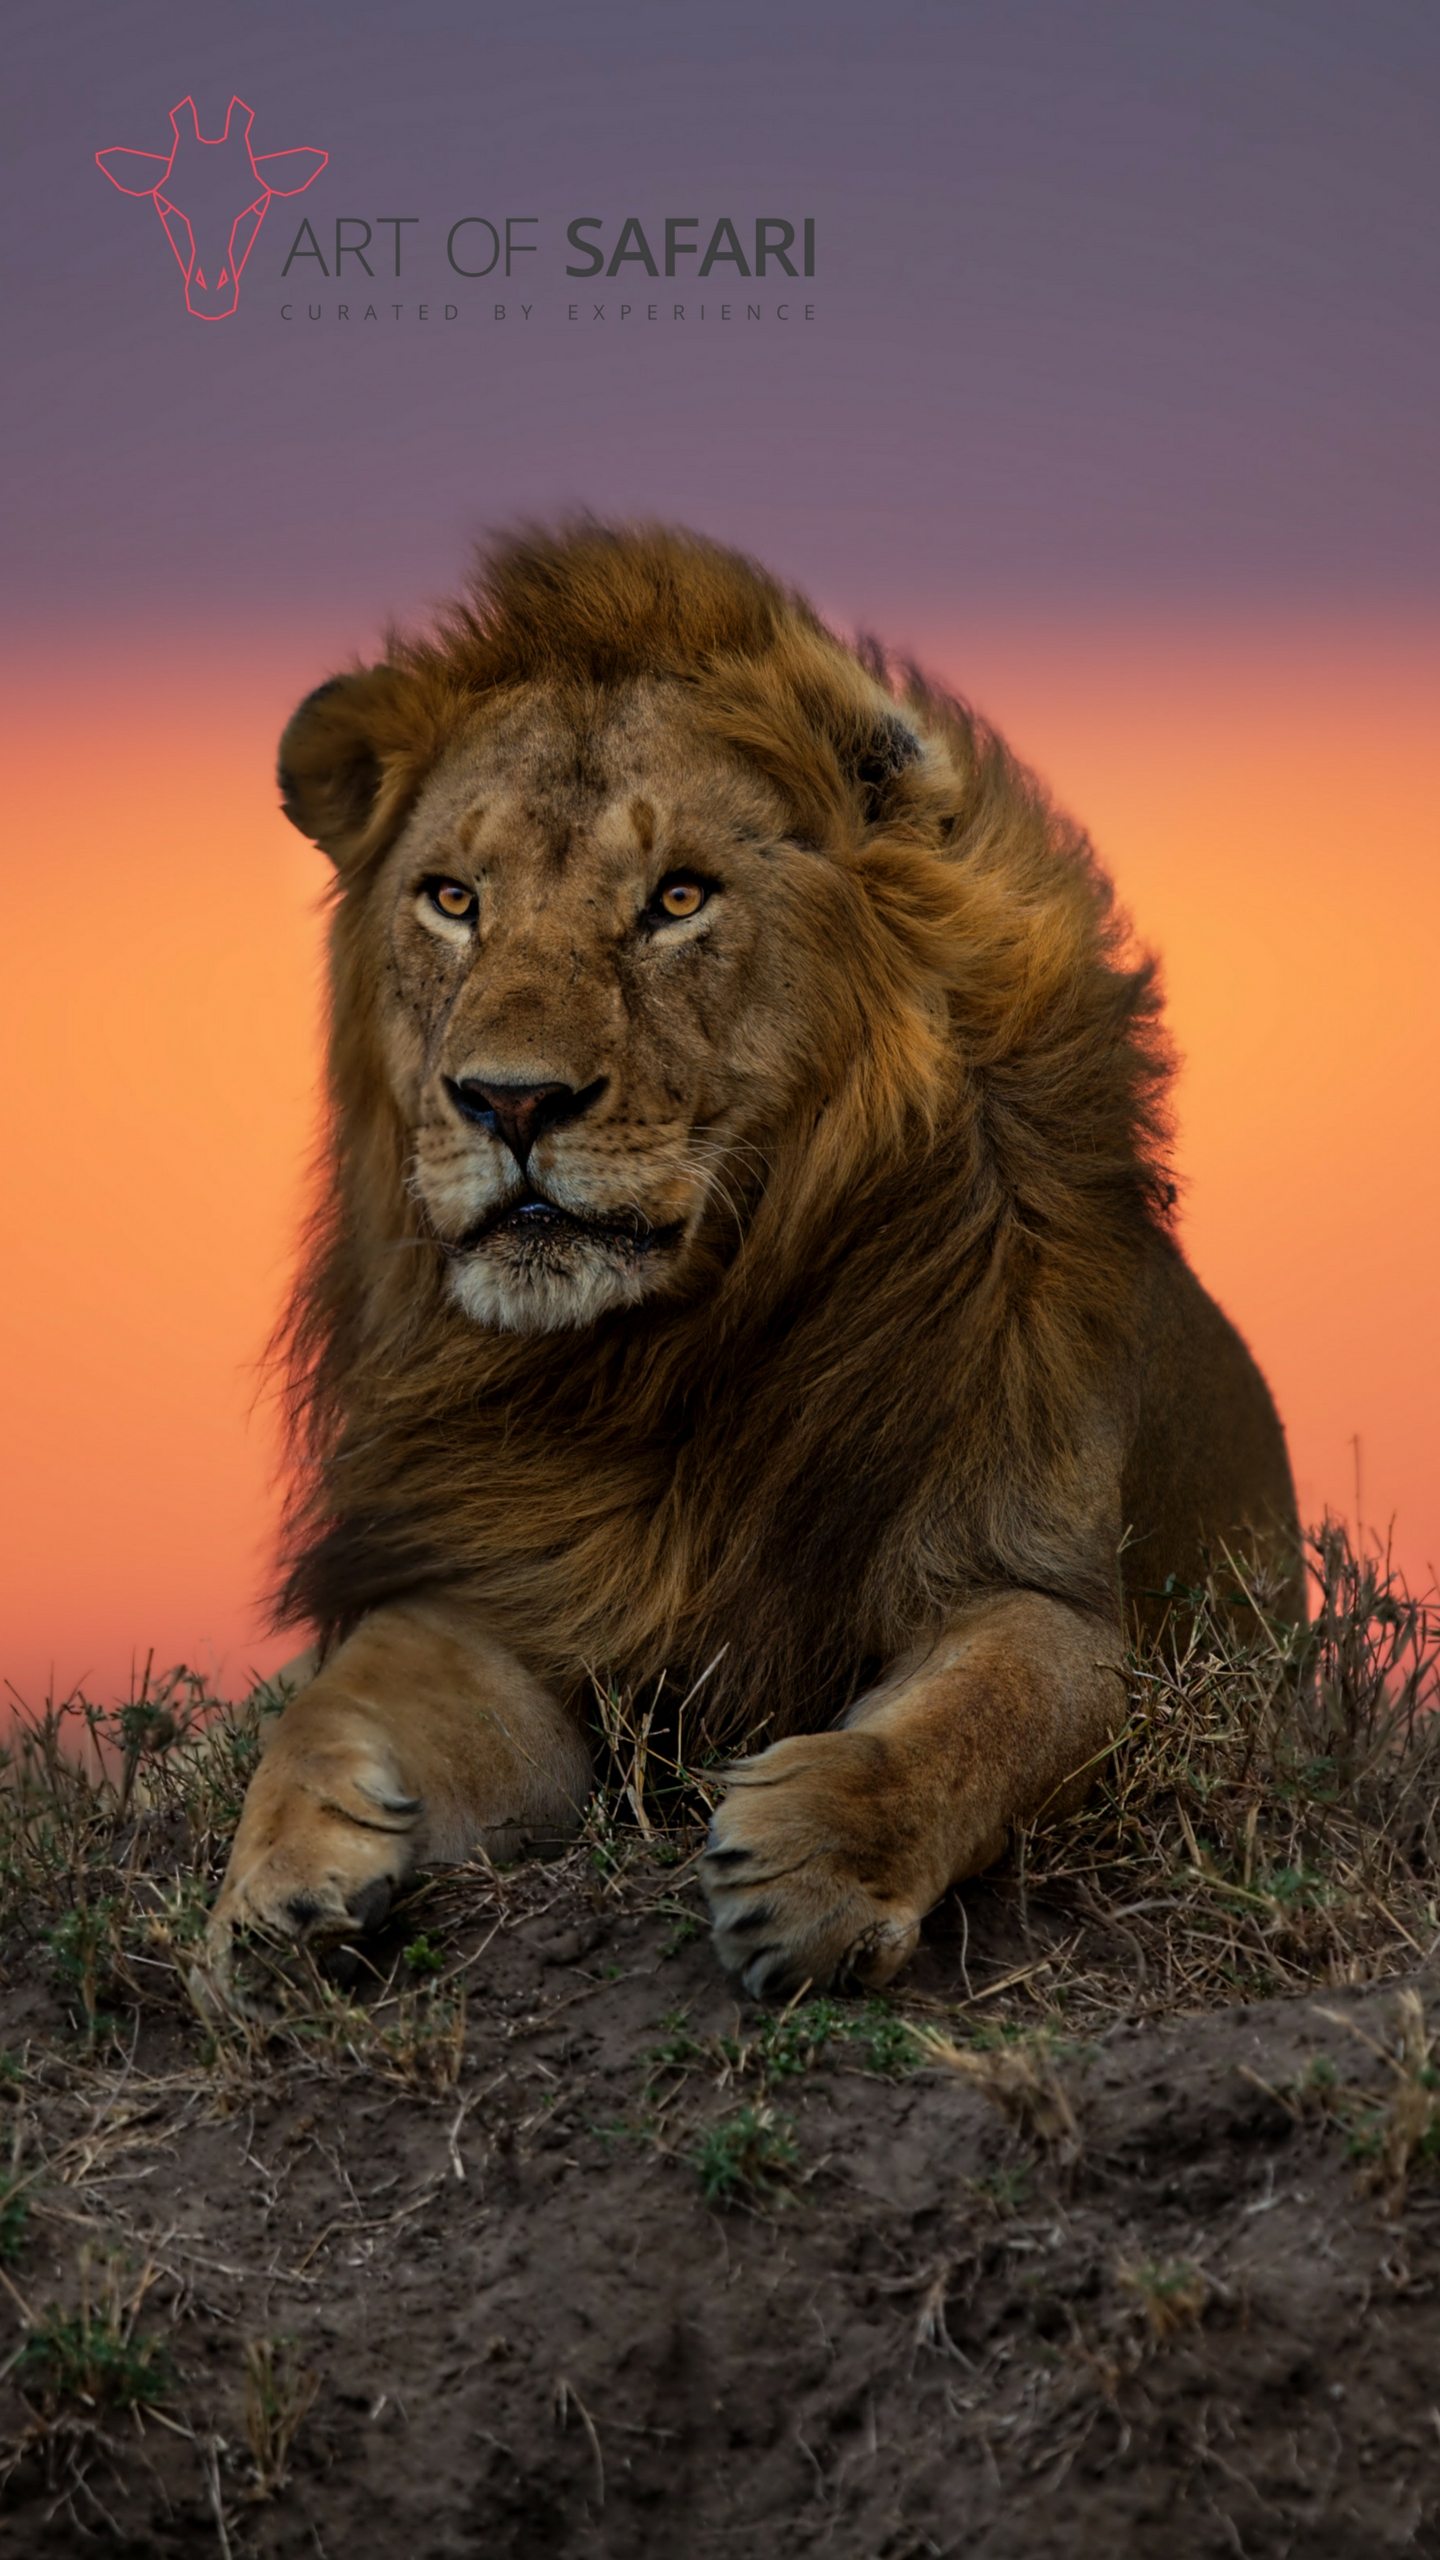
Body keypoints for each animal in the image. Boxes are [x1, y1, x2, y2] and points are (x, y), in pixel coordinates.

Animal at [206, 519, 1301, 1999]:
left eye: (679, 898)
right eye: (452, 900)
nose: (508, 1100)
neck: (667, 1358)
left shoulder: (1037, 1579)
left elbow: (994, 1710)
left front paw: (817, 1868)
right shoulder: (500, 1595)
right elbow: (333, 1700)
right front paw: (272, 1890)